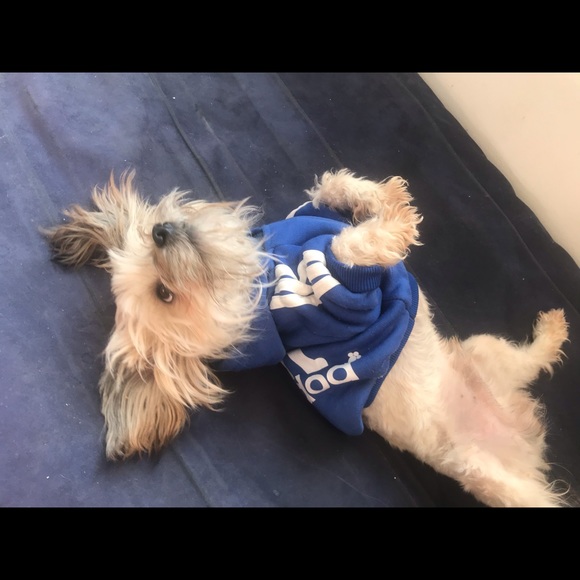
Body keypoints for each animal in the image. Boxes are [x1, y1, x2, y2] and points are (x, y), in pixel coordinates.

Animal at [44, 169, 570, 507]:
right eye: (164, 294)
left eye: (150, 246)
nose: (162, 231)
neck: (261, 267)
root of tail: (524, 434)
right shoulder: (342, 296)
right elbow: (349, 245)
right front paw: (394, 222)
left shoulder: (307, 214)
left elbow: (329, 187)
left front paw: (381, 193)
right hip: (493, 479)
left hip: (486, 351)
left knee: (533, 358)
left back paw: (553, 326)